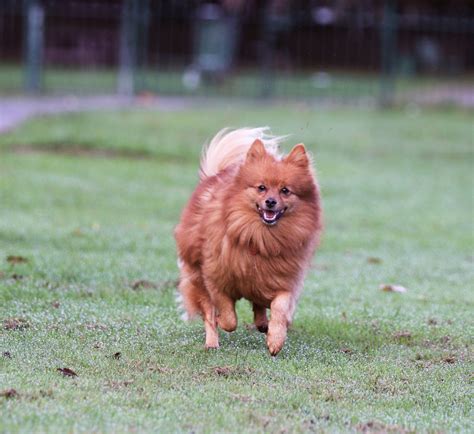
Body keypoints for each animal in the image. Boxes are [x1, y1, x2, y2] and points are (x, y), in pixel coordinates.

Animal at [174, 126, 322, 356]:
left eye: (285, 190)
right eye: (261, 188)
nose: (270, 202)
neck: (260, 237)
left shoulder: (284, 281)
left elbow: (280, 308)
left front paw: (275, 339)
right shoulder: (215, 278)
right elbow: (228, 318)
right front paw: (223, 322)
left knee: (258, 303)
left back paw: (262, 324)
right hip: (197, 275)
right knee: (208, 313)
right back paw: (212, 342)